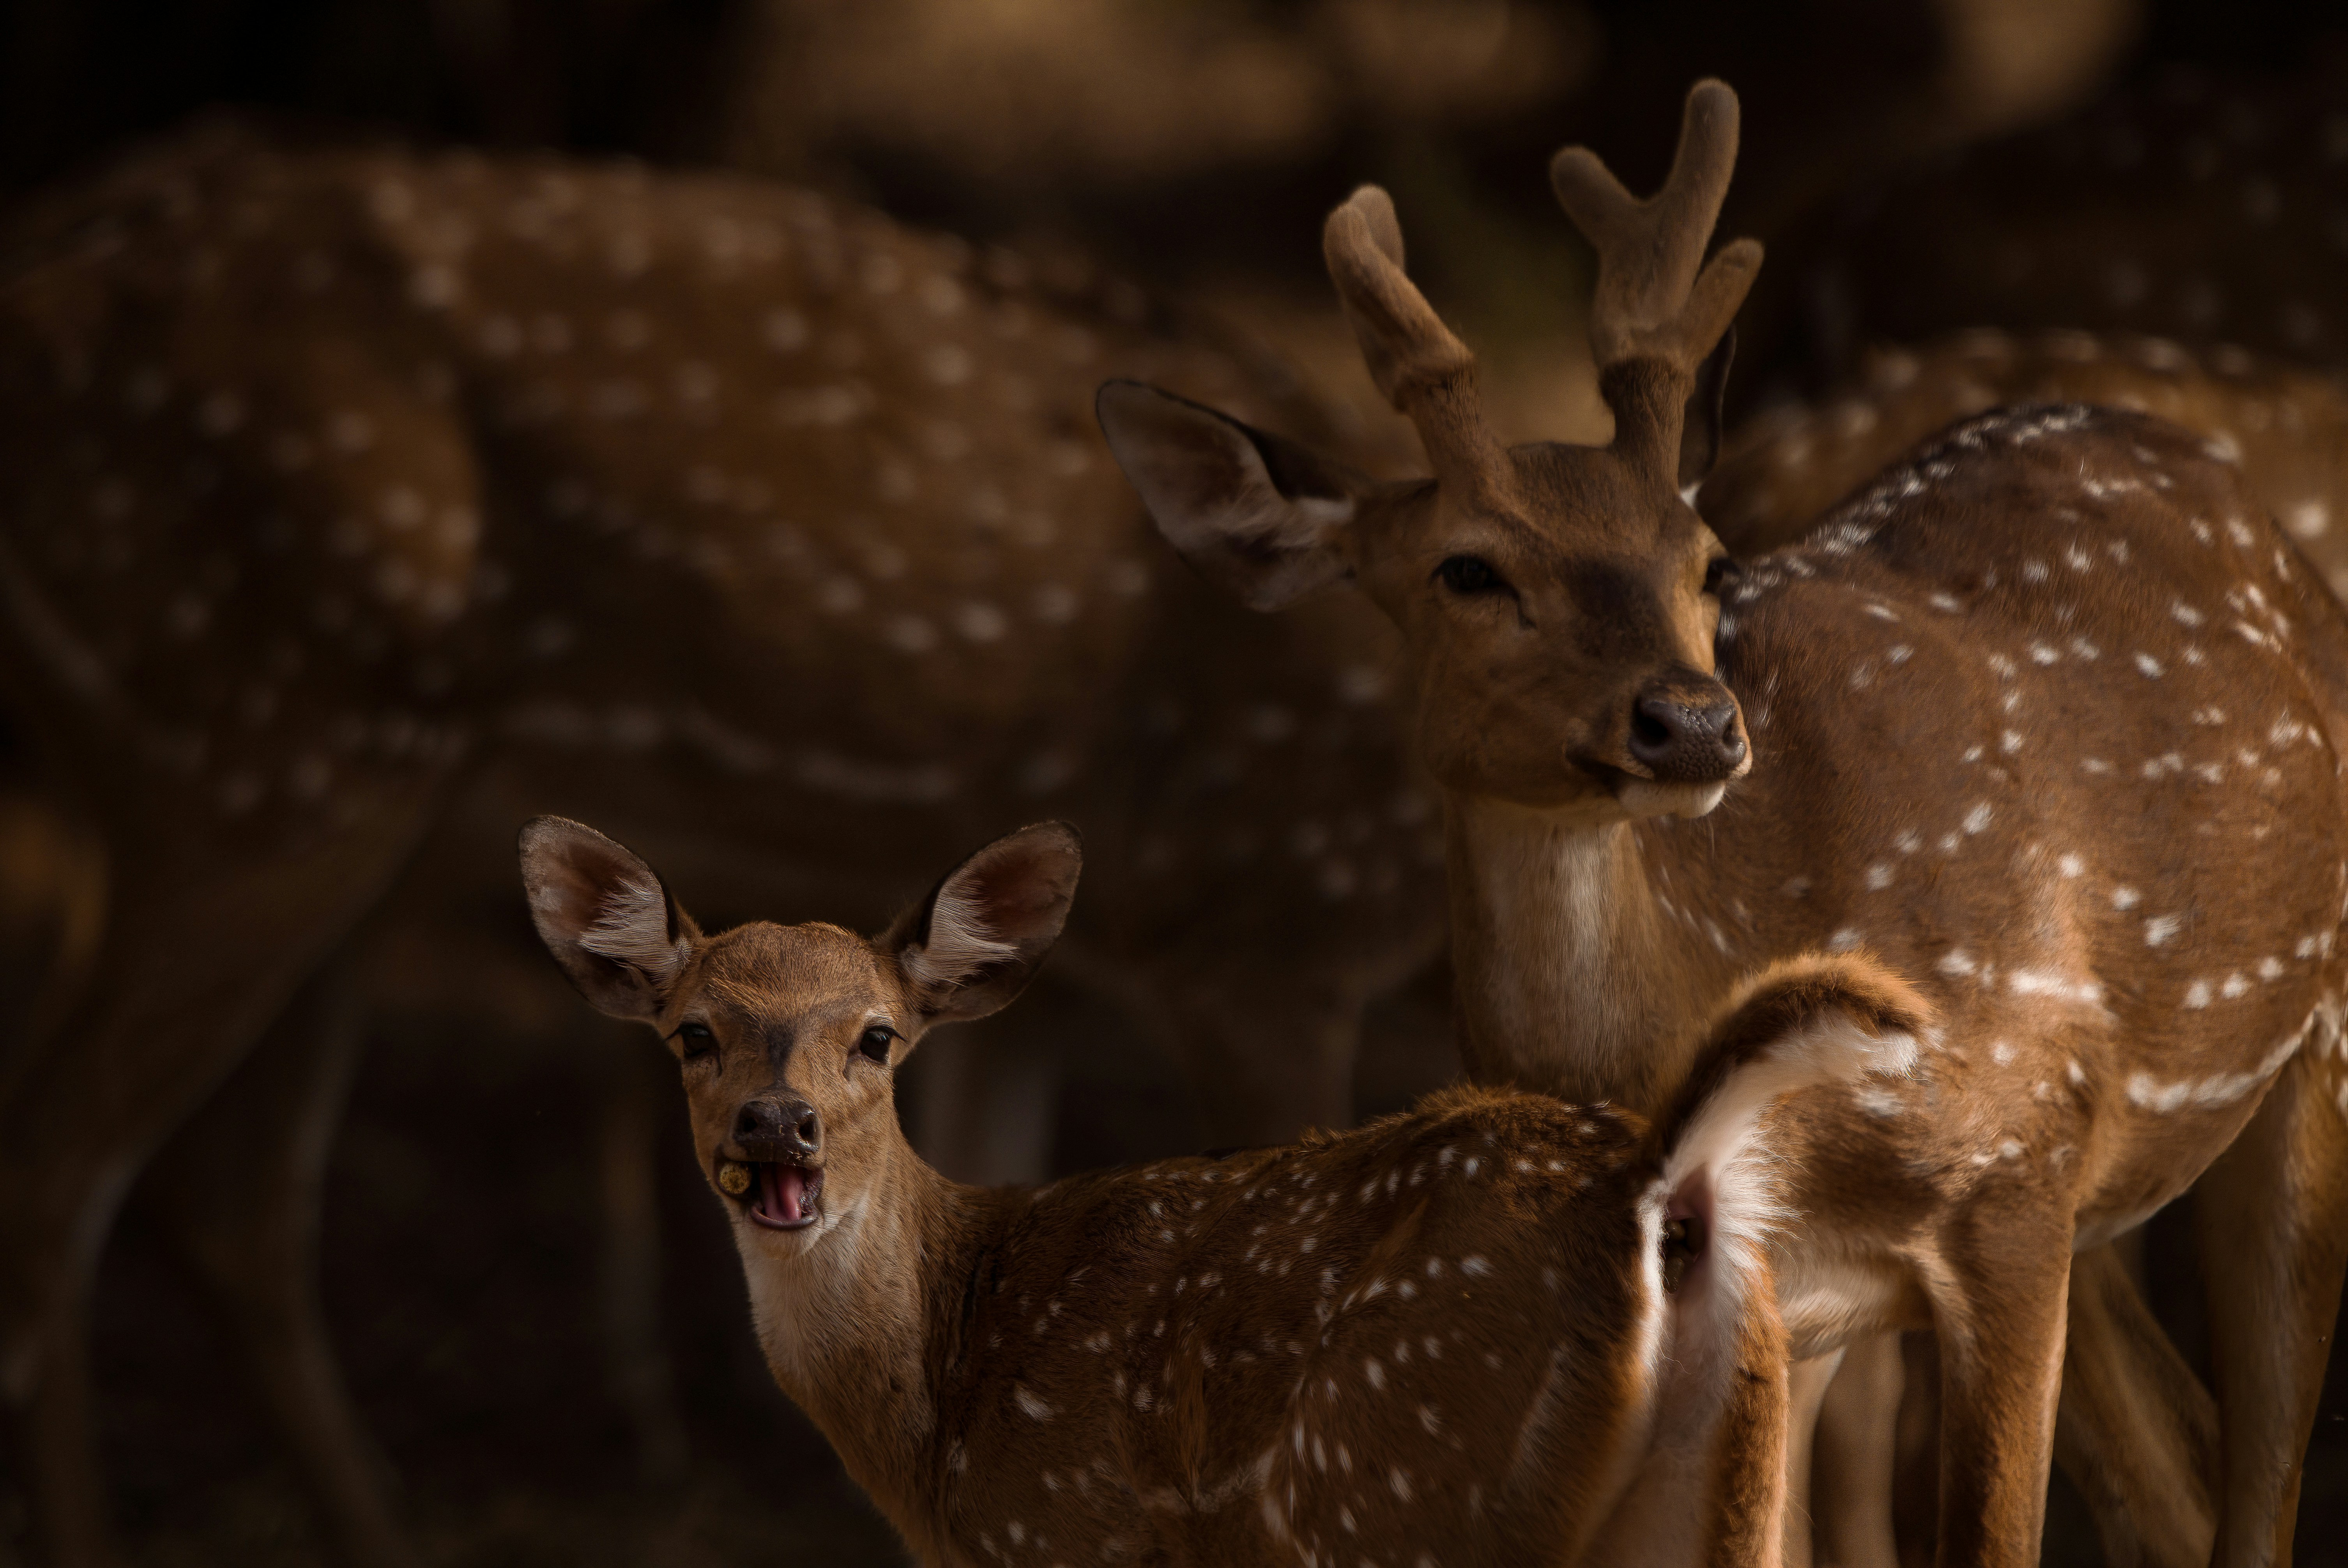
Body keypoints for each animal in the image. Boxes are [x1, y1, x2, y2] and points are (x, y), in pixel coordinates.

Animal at [0, 121, 1449, 1566]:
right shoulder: (1258, 935)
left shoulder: (1054, 995)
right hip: (255, 759)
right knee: (59, 1170)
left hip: (319, 813)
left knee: (233, 1201)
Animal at [518, 809, 1940, 1568]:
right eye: (693, 1032)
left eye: (876, 1034)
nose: (779, 1127)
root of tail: (1652, 1189)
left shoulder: (1061, 1534)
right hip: (1728, 1481)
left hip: (1398, 1495)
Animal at [1095, 78, 2348, 1568]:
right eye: (1469, 570)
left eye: (1702, 561)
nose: (1689, 724)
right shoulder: (1782, 1301)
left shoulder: (2011, 1186)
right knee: (2174, 1467)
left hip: (2295, 1047)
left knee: (2254, 1479)